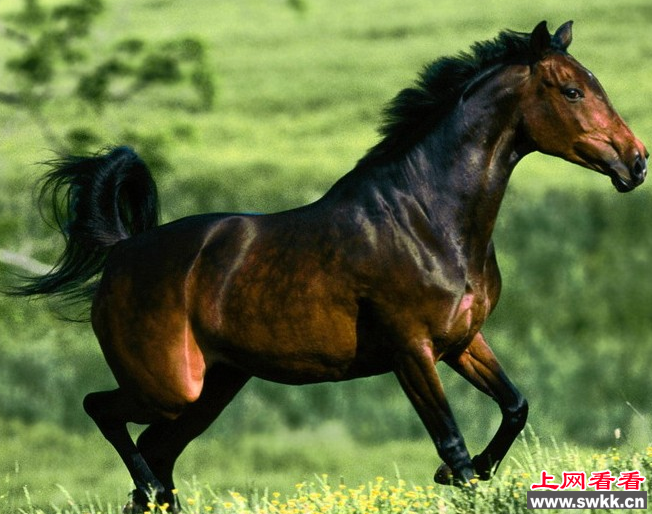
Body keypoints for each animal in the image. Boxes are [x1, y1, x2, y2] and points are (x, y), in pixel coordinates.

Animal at [12, 20, 647, 512]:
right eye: (572, 91)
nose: (636, 162)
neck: (428, 219)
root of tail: (123, 251)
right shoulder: (410, 350)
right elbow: (453, 444)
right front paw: (455, 476)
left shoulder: (462, 341)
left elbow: (515, 407)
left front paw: (469, 473)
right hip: (168, 386)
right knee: (105, 414)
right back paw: (149, 489)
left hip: (212, 388)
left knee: (155, 451)